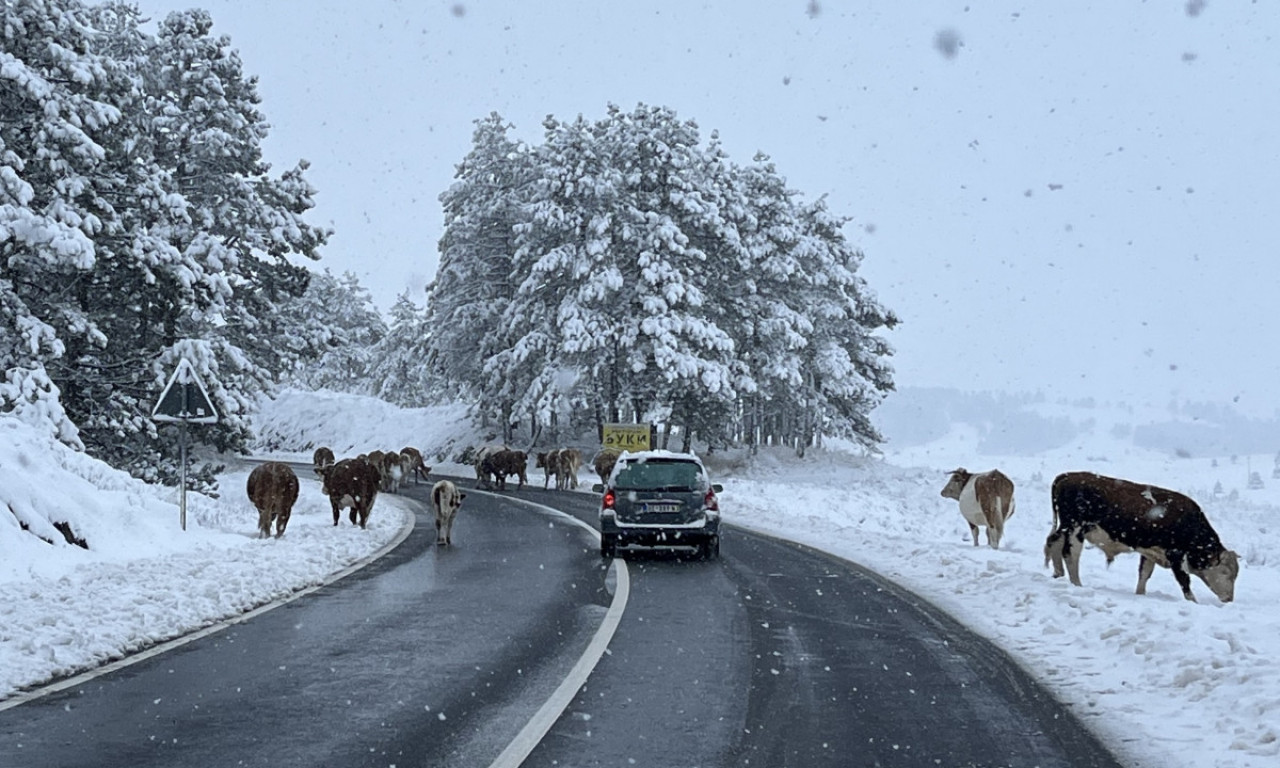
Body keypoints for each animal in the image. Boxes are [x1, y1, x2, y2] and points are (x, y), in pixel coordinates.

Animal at [1044, 471, 1233, 604]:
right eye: (1226, 572)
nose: (1229, 599)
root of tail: (1068, 476)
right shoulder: (1175, 554)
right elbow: (1184, 580)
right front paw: (1193, 602)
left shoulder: (1150, 551)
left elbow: (1144, 573)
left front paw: (1140, 594)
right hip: (1075, 528)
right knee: (1070, 554)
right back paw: (1076, 583)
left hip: (1065, 527)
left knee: (1054, 543)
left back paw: (1058, 575)